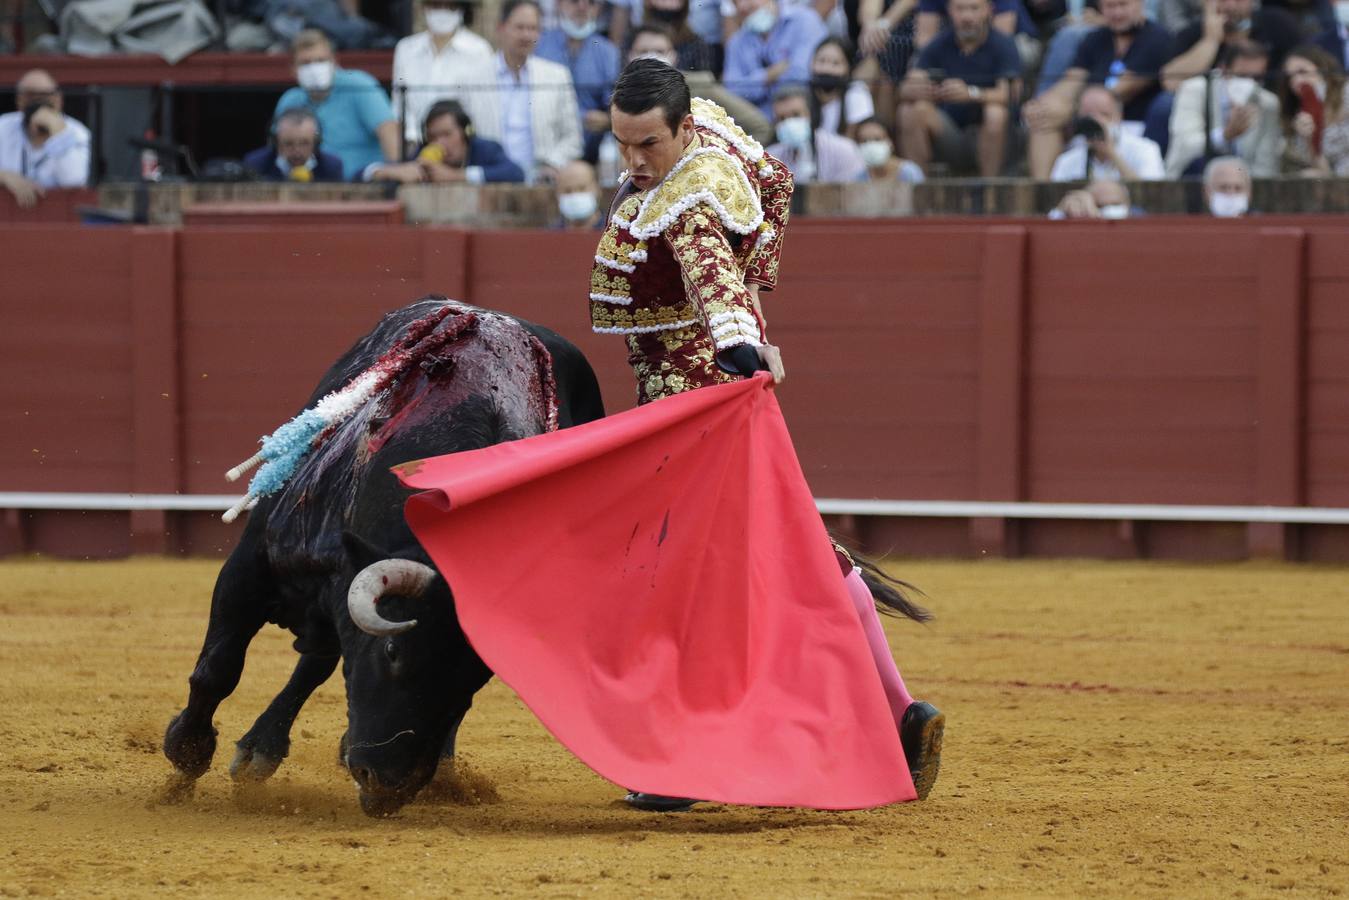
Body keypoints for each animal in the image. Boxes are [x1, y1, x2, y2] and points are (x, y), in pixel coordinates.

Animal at [161, 300, 601, 814]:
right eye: (393, 650)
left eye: (474, 681)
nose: (388, 785)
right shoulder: (251, 566)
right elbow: (220, 666)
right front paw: (185, 754)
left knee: (320, 658)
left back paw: (266, 749)